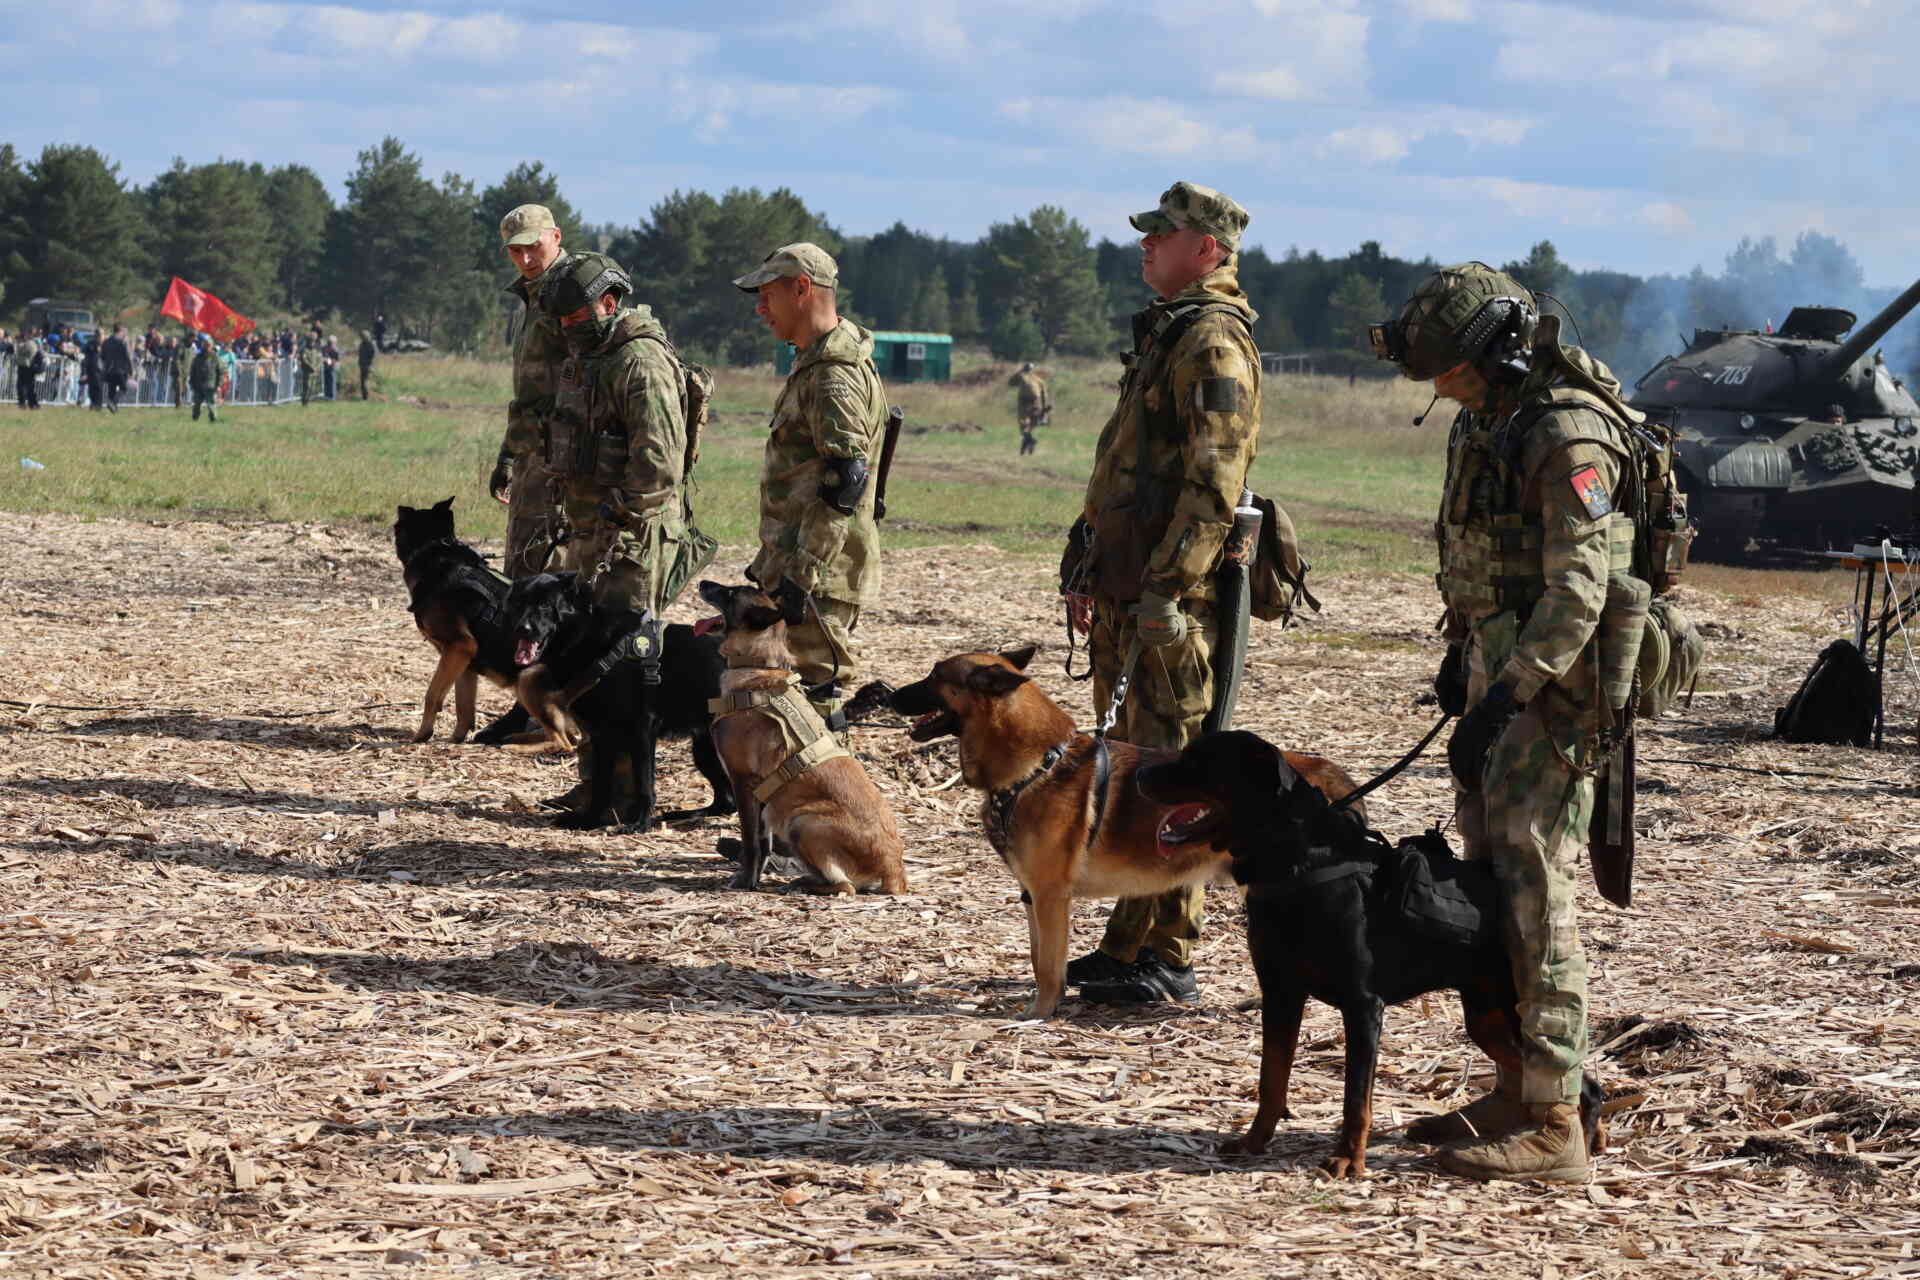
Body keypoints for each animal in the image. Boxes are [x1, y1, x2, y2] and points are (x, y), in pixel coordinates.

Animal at [391, 498, 526, 744]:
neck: (434, 547)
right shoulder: (465, 662)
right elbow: (464, 707)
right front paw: (456, 739)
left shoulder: (459, 647)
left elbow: (432, 696)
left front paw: (422, 734)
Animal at [503, 571, 733, 832]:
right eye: (519, 603)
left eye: (544, 605)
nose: (522, 629)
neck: (586, 637)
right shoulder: (602, 734)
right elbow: (601, 783)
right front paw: (589, 821)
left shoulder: (642, 728)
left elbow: (644, 782)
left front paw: (641, 824)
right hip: (704, 747)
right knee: (727, 801)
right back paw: (686, 814)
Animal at [887, 652, 1359, 1020]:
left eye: (934, 675)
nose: (888, 693)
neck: (1038, 766)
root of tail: (1328, 774)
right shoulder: (1032, 897)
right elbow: (1039, 959)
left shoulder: (1051, 897)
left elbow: (1049, 967)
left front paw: (1041, 1013)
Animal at [1128, 729, 1597, 1182]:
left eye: (1201, 760)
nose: (1139, 776)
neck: (1297, 863)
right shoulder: (1280, 994)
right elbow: (1272, 1078)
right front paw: (1254, 1141)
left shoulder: (1362, 1006)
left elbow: (1356, 1098)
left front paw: (1346, 1160)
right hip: (1489, 1018)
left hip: (1515, 1007)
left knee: (1572, 1075)